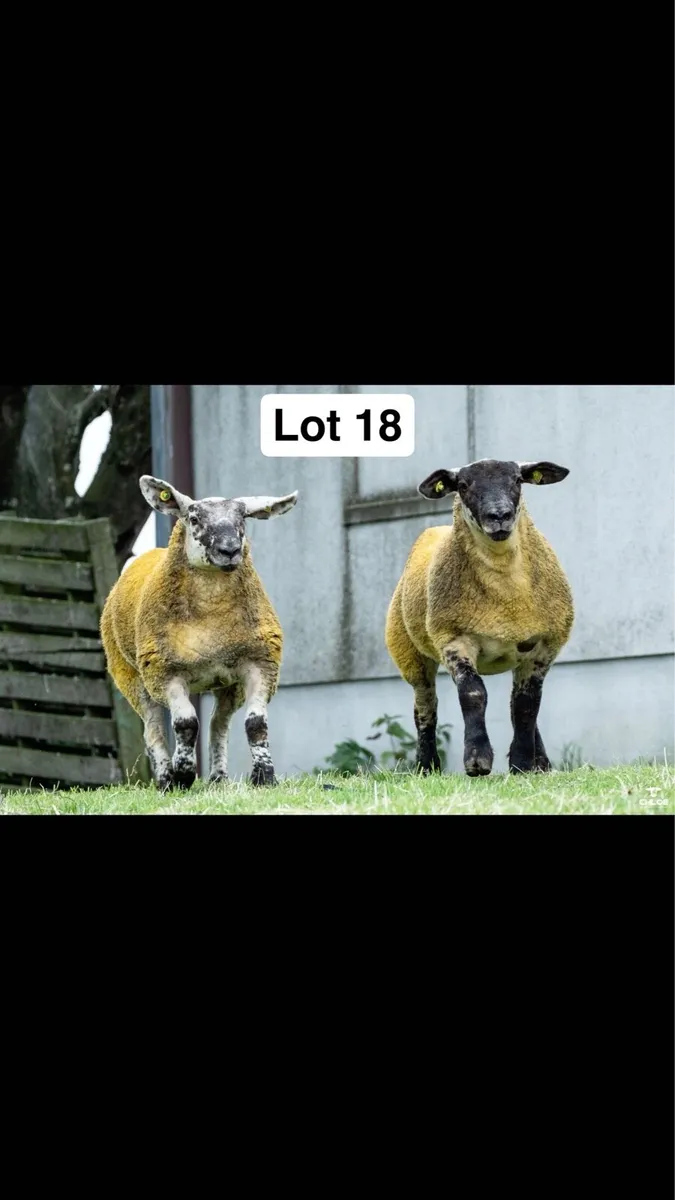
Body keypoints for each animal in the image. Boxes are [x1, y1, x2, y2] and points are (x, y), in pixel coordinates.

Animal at [100, 475, 298, 791]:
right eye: (193, 518)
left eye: (242, 518)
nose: (230, 550)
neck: (211, 620)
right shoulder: (165, 672)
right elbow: (185, 724)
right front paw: (183, 775)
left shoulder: (260, 663)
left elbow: (256, 724)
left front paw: (265, 777)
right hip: (130, 676)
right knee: (153, 731)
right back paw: (166, 780)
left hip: (228, 684)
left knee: (218, 723)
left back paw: (218, 777)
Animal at [385, 459, 573, 776]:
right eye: (463, 486)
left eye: (517, 480)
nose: (499, 516)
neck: (506, 600)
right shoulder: (453, 638)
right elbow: (473, 694)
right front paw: (477, 760)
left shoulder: (543, 646)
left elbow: (526, 706)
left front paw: (523, 764)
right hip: (409, 653)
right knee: (425, 708)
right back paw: (426, 766)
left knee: (517, 704)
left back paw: (542, 764)